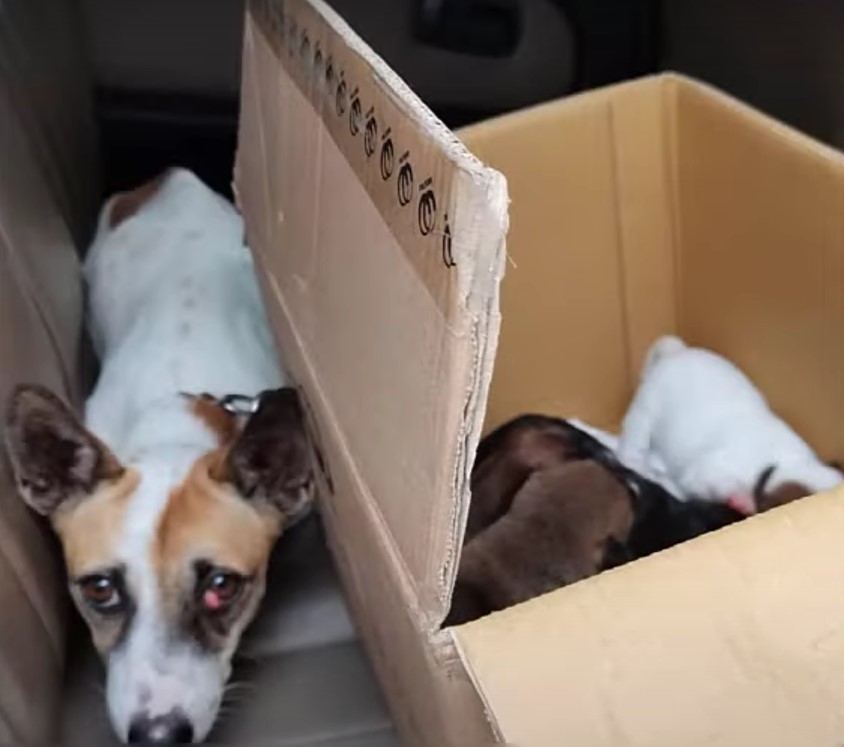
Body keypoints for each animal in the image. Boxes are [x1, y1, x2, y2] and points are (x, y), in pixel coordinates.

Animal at [616, 334, 840, 516]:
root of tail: (678, 351)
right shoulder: (706, 474)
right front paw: (743, 500)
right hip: (645, 412)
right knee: (634, 439)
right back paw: (635, 462)